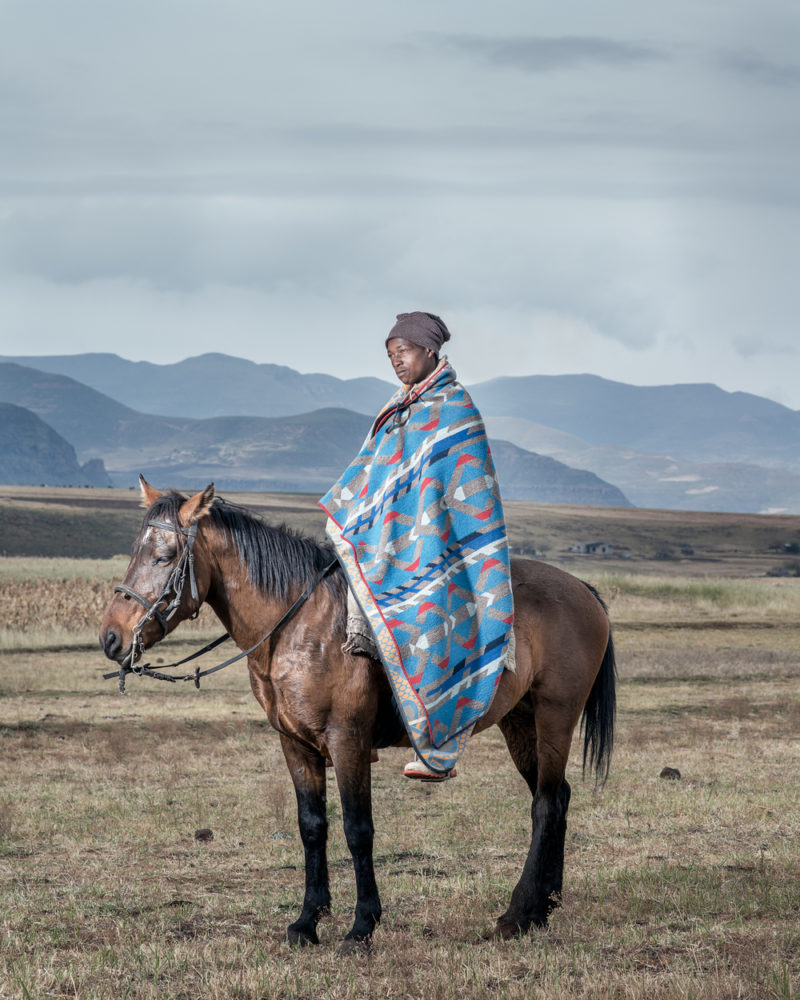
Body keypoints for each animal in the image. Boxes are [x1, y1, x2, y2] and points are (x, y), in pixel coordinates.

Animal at [98, 480, 612, 948]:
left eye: (164, 556)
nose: (111, 637)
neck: (297, 627)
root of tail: (583, 590)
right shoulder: (295, 743)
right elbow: (312, 827)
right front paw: (307, 922)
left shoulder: (347, 739)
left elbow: (356, 828)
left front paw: (362, 926)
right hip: (519, 722)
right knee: (557, 797)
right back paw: (544, 907)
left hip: (555, 716)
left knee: (545, 804)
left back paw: (518, 913)